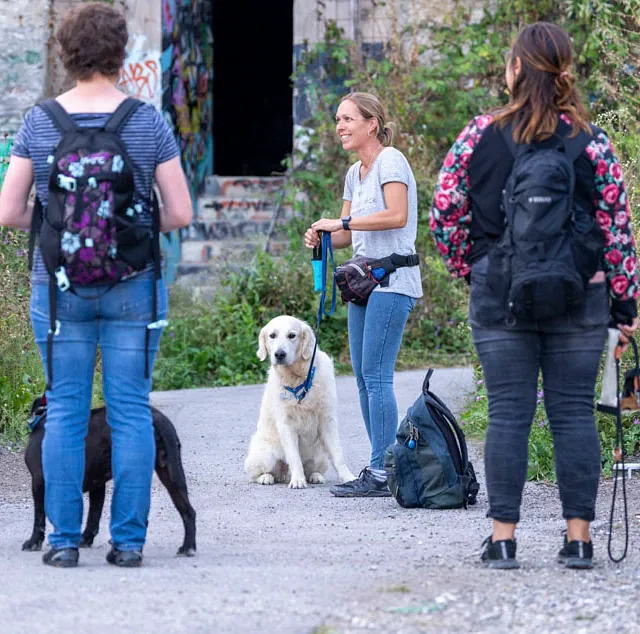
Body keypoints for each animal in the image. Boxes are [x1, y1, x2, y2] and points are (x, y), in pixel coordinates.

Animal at [22, 398, 196, 556]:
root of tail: (158, 418)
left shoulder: (38, 480)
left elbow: (39, 516)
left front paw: (33, 542)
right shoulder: (97, 485)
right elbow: (93, 515)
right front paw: (85, 539)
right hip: (170, 473)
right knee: (187, 511)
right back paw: (187, 547)